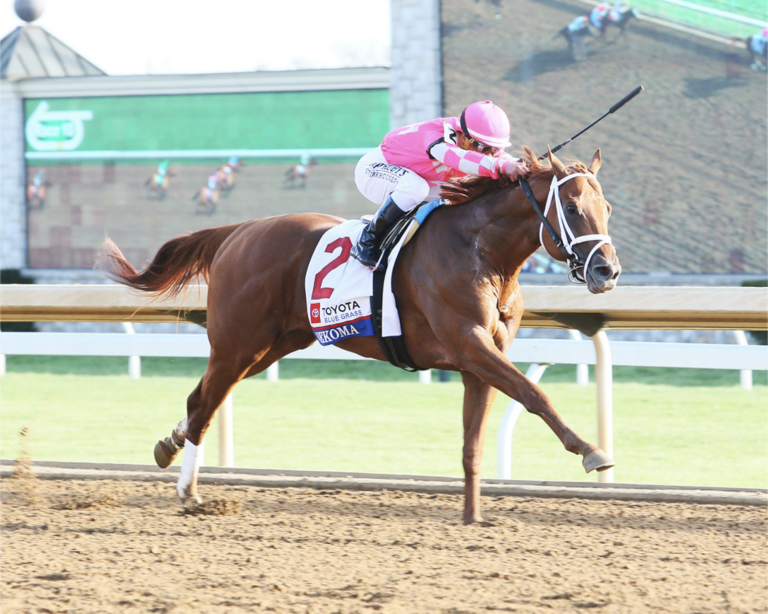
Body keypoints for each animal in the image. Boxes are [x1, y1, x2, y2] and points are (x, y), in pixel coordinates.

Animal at [100, 148, 616, 524]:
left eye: (606, 208)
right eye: (572, 208)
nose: (607, 271)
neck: (480, 251)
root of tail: (239, 231)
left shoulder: (481, 358)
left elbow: (474, 440)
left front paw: (472, 516)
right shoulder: (469, 342)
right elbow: (533, 393)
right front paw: (591, 451)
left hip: (271, 346)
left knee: (200, 399)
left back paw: (171, 450)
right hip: (237, 343)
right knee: (206, 402)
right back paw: (188, 490)